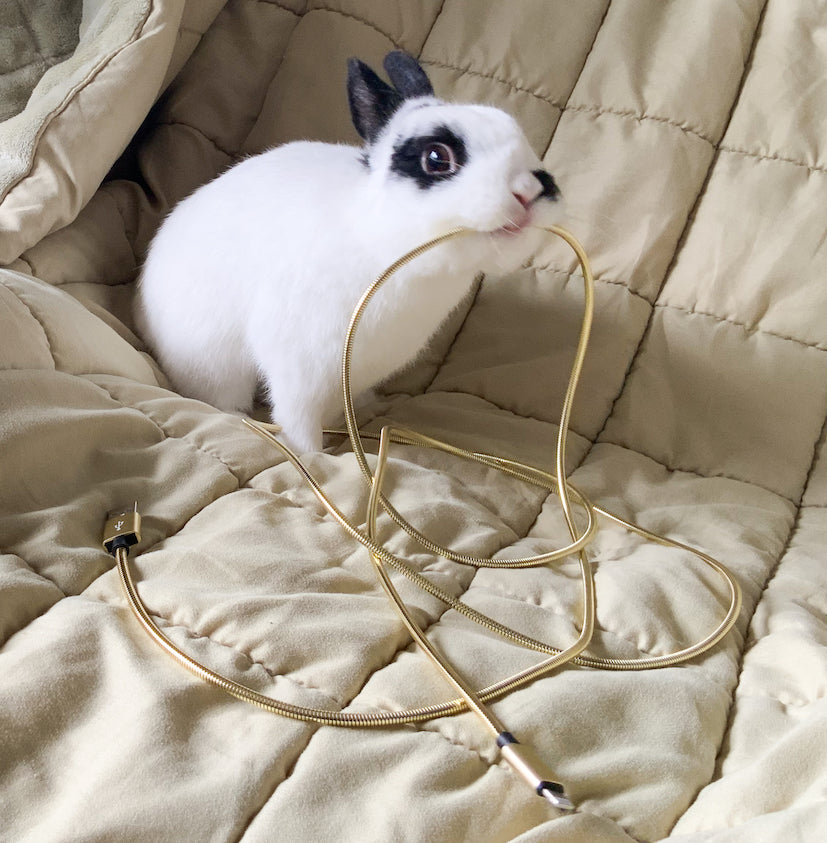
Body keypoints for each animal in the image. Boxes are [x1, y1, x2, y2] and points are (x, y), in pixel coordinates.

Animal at [136, 51, 561, 453]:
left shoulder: (357, 370)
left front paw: (362, 415)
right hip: (213, 364)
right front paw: (315, 454)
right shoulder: (299, 368)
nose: (530, 189)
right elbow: (298, 418)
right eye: (437, 158)